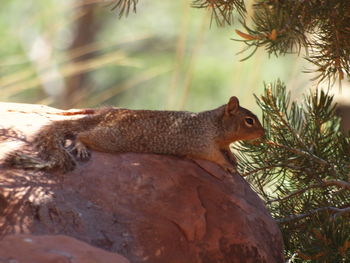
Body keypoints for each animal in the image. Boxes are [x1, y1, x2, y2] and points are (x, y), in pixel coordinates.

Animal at [4, 97, 262, 173]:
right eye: (249, 121)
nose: (264, 132)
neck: (213, 124)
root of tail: (106, 116)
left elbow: (225, 148)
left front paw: (232, 156)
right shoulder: (202, 142)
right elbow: (213, 155)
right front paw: (226, 165)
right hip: (110, 138)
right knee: (83, 134)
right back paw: (80, 145)